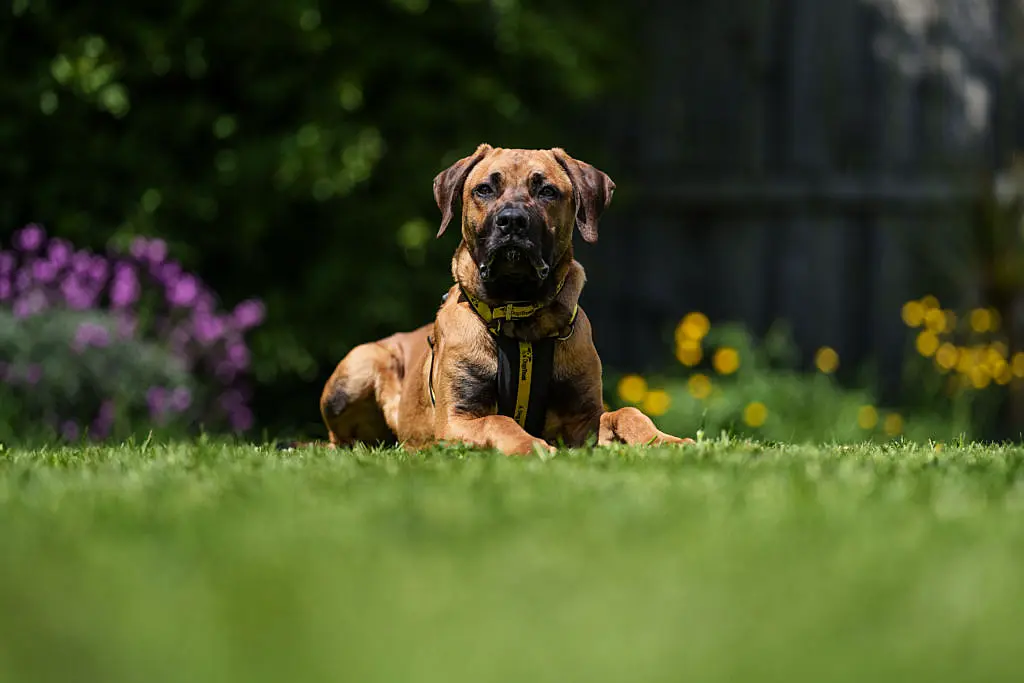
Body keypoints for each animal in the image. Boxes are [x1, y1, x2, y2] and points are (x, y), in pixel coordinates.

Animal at [315, 143, 692, 454]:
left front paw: (666, 440)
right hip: (360, 365)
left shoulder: (583, 417)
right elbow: (500, 421)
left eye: (547, 191)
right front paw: (534, 446)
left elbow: (627, 413)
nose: (512, 221)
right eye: (484, 189)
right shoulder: (458, 417)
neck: (520, 318)